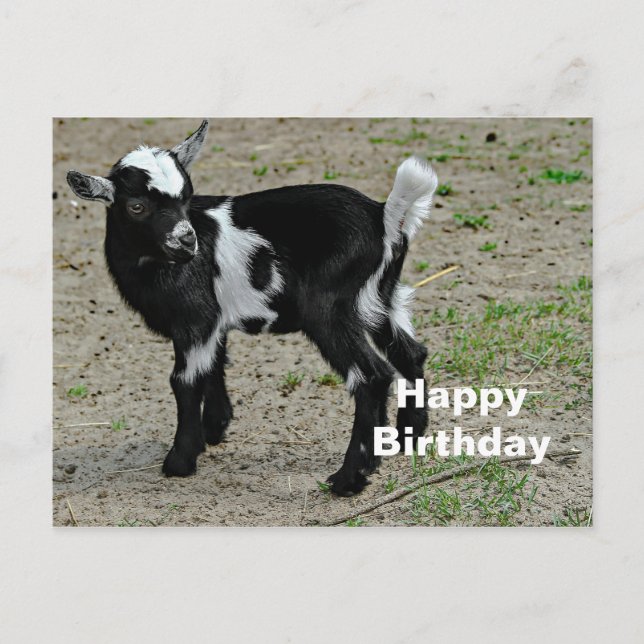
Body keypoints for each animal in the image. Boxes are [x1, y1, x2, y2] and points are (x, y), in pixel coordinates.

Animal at [66, 120, 437, 496]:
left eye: (186, 196)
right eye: (136, 206)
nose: (187, 241)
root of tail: (383, 218)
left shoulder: (194, 318)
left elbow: (184, 380)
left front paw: (180, 460)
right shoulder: (211, 320)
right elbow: (214, 365)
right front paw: (214, 429)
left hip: (329, 308)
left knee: (371, 376)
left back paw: (349, 478)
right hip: (379, 297)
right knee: (410, 353)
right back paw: (404, 439)